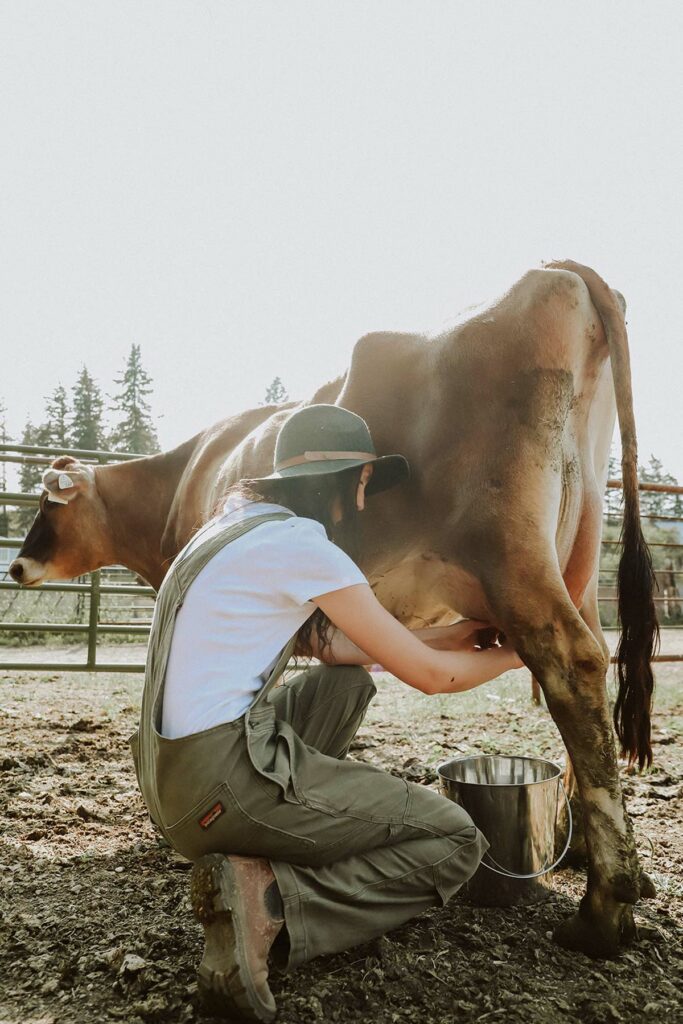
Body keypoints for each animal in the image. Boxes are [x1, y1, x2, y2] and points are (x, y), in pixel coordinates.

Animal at [10, 262, 659, 958]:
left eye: (49, 507)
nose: (16, 566)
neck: (186, 480)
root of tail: (556, 271)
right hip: (578, 562)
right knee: (598, 669)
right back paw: (589, 852)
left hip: (508, 554)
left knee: (573, 664)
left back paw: (604, 907)